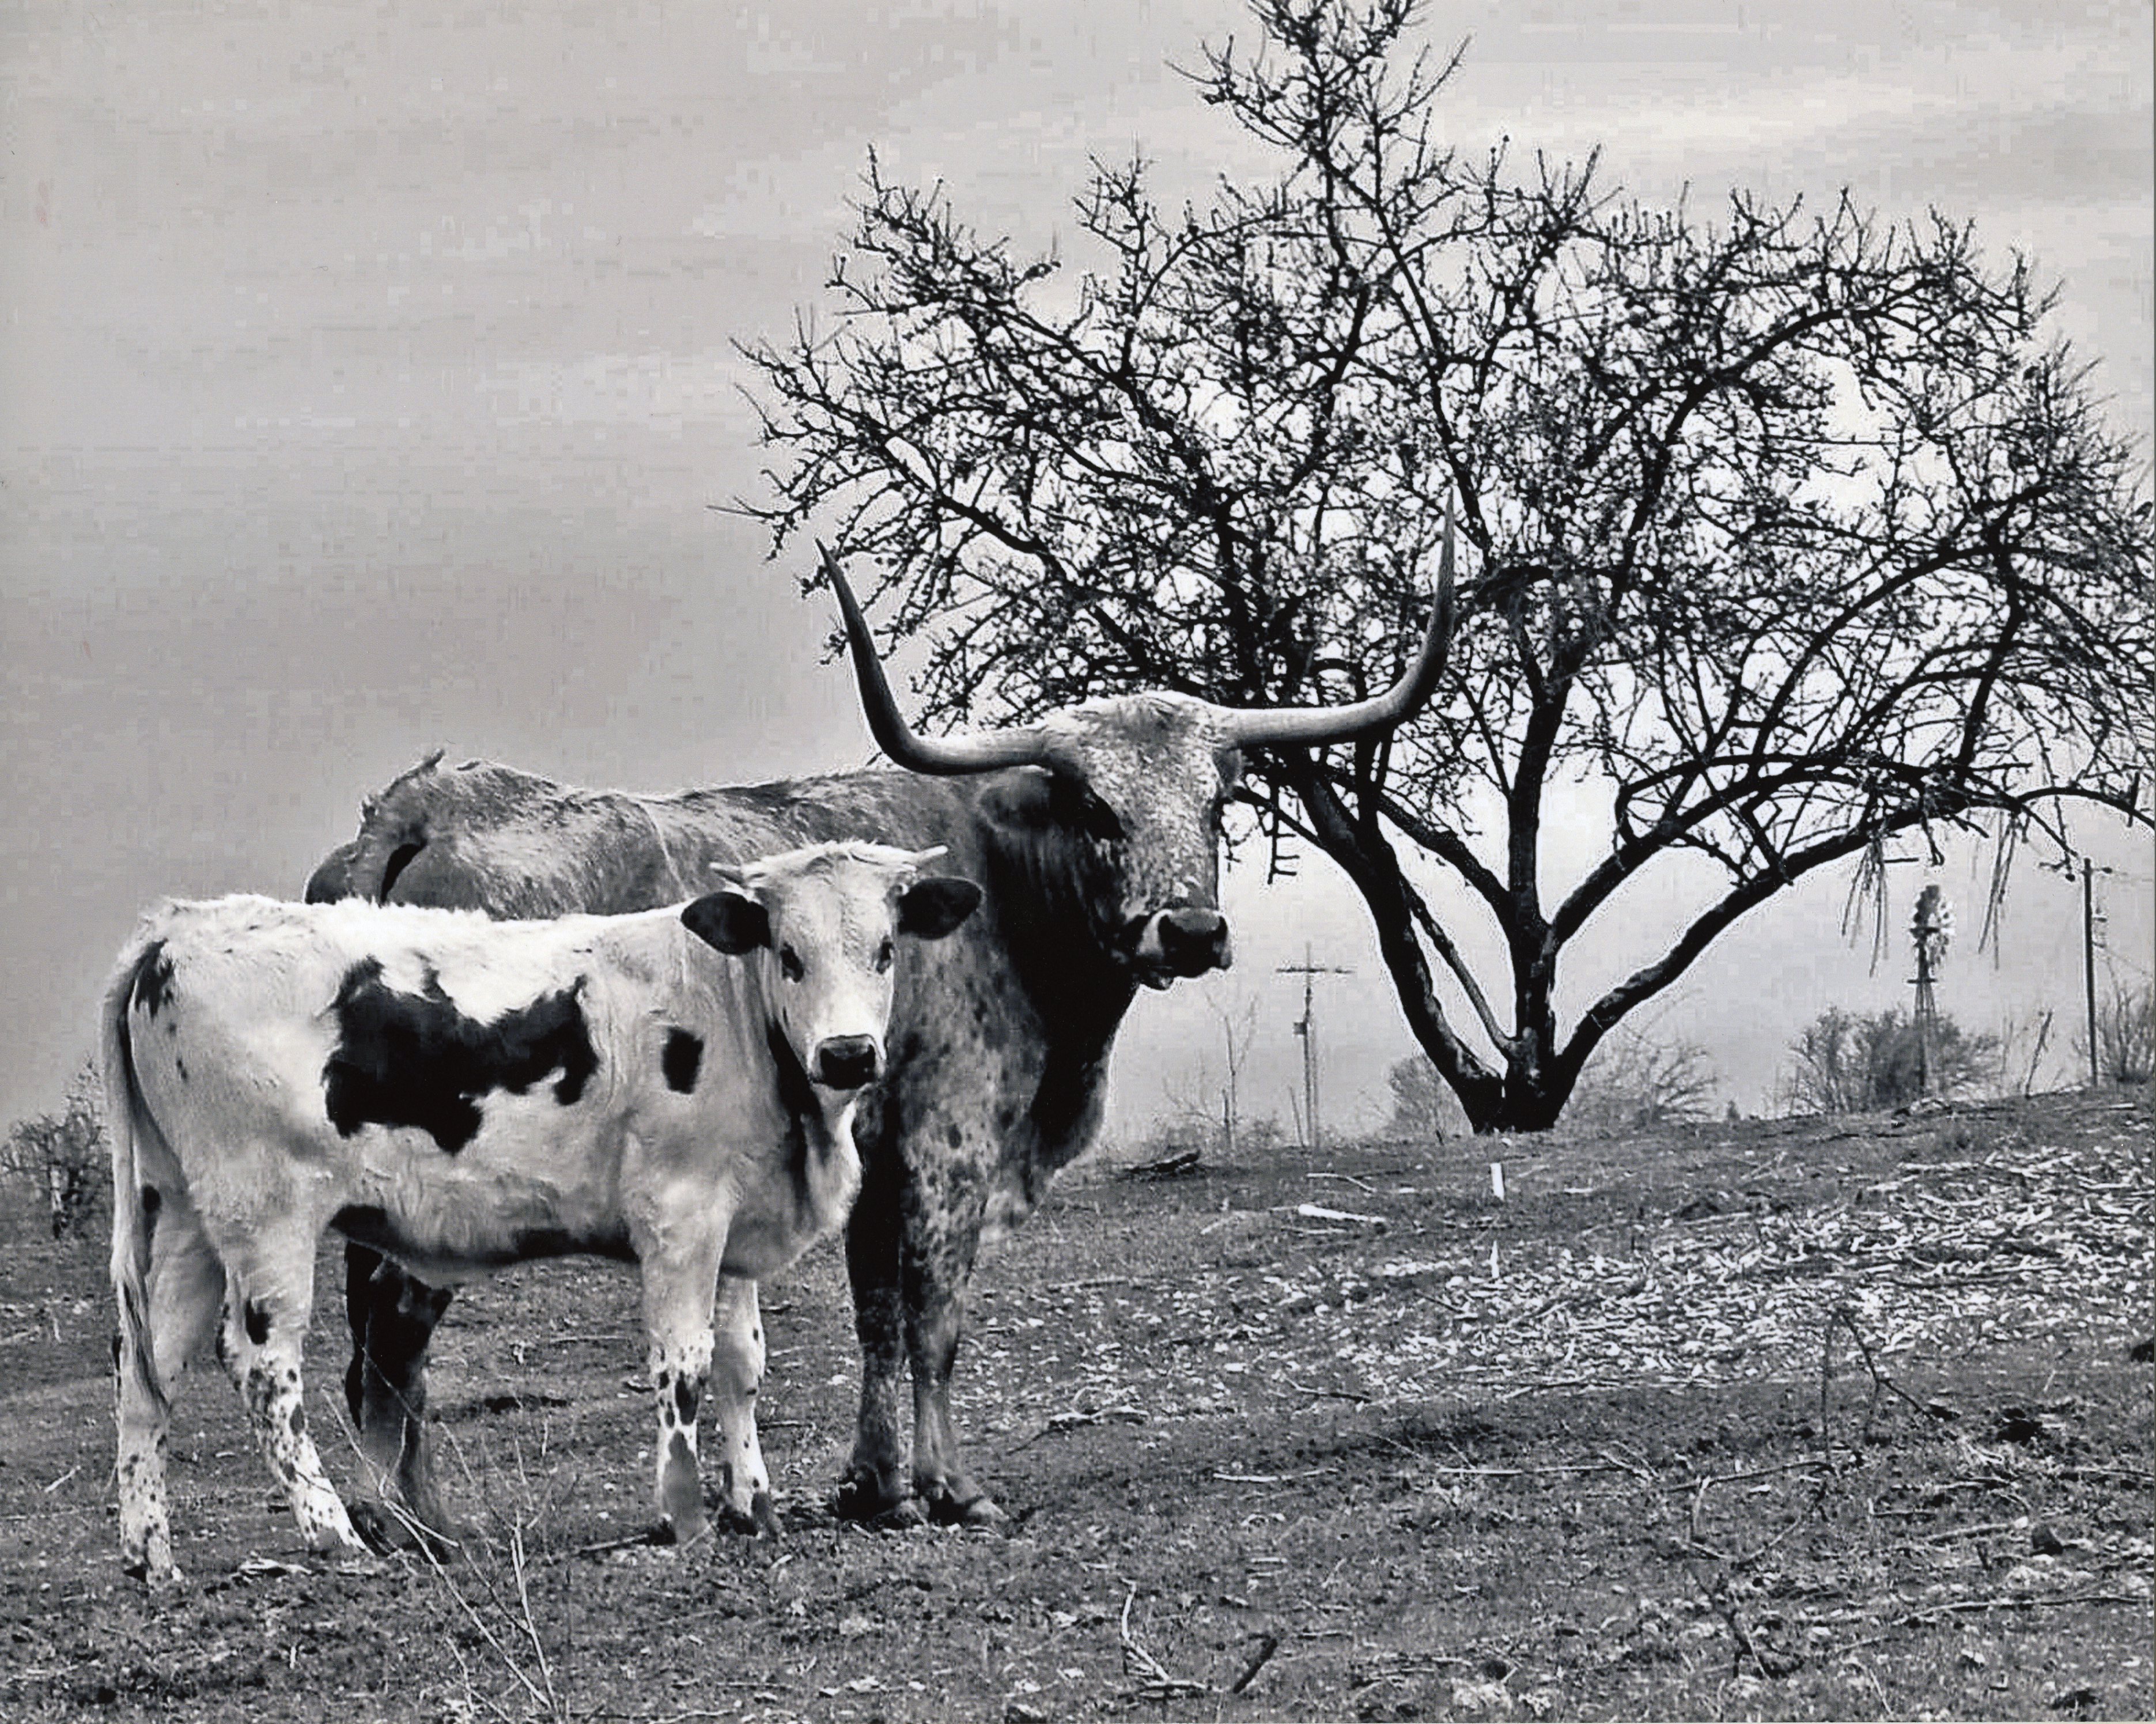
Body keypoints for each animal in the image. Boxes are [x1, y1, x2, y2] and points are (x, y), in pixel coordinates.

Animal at [101, 841, 981, 1584]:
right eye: (789, 955)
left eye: (886, 949)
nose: (847, 1053)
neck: (727, 1007)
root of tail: (178, 926)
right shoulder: (680, 1216)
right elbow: (683, 1365)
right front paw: (686, 1515)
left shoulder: (735, 1227)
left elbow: (742, 1363)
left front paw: (753, 1505)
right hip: (266, 1218)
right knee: (263, 1368)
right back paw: (336, 1534)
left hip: (183, 1217)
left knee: (149, 1370)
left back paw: (153, 1559)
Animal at [310, 539, 1454, 1531]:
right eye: (1095, 807)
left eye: (1217, 800)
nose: (1192, 929)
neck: (998, 882)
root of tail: (421, 808)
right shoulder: (950, 1141)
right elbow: (933, 1314)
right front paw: (950, 1486)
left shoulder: (872, 1149)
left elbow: (877, 1315)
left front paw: (876, 1485)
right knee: (392, 1338)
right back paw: (414, 1524)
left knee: (370, 1334)